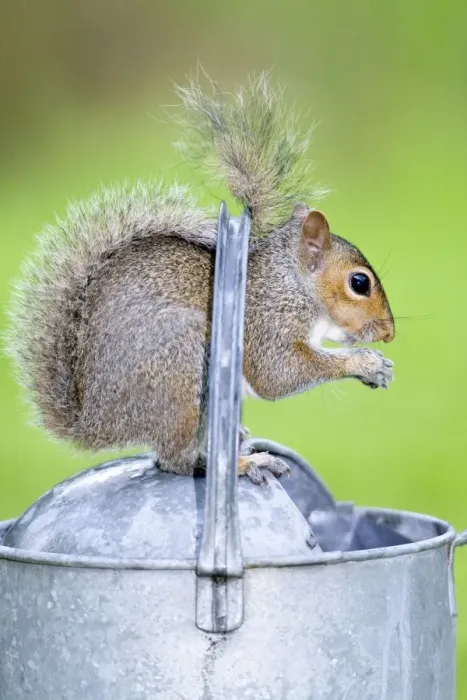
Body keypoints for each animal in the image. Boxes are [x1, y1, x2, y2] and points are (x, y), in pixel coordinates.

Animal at [6, 74, 395, 485]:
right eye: (359, 283)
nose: (389, 333)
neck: (290, 282)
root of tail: (98, 423)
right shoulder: (266, 322)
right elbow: (279, 374)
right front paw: (366, 364)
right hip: (180, 368)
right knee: (175, 460)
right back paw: (243, 464)